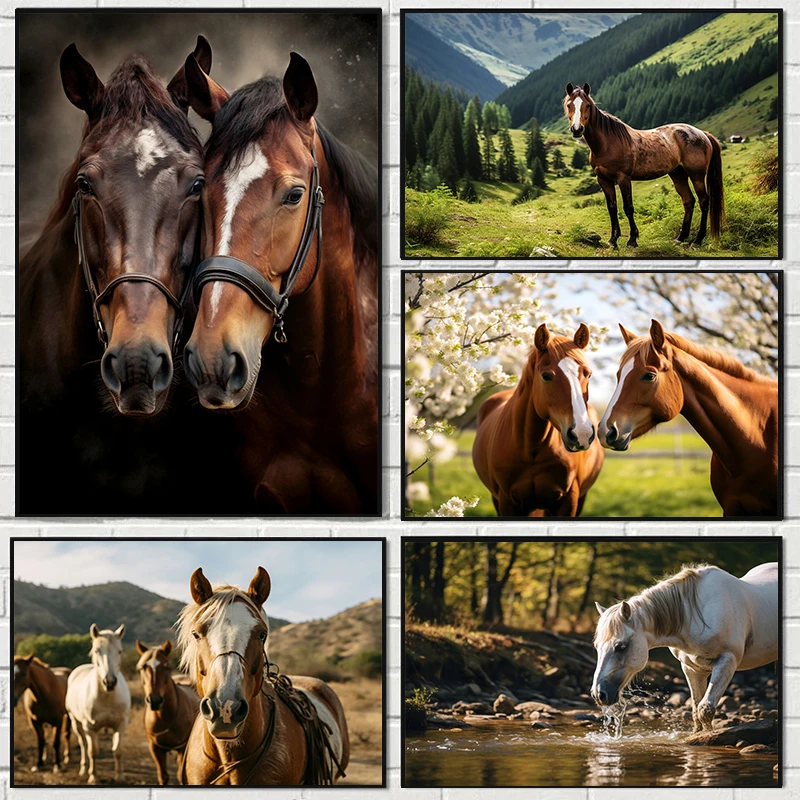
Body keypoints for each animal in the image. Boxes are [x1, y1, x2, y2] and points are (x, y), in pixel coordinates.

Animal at [65, 624, 131, 784]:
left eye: (120, 651)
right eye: (96, 651)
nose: (110, 682)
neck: (107, 697)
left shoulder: (121, 724)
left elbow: (118, 751)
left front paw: (120, 776)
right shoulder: (90, 727)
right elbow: (92, 751)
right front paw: (93, 777)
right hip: (76, 722)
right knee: (83, 744)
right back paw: (83, 769)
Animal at [135, 639, 200, 785]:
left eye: (167, 667)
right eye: (142, 667)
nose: (154, 700)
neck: (164, 717)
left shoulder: (183, 747)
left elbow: (182, 776)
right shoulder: (155, 748)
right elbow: (163, 776)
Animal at [472, 323, 605, 517]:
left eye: (588, 374)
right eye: (546, 376)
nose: (582, 433)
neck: (530, 449)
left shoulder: (569, 500)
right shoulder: (506, 502)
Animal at [563, 82, 724, 248]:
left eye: (587, 105)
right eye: (569, 105)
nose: (577, 129)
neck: (608, 143)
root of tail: (702, 133)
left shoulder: (623, 179)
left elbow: (628, 208)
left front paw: (632, 239)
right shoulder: (603, 180)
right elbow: (612, 208)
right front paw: (613, 240)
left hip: (696, 175)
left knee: (704, 201)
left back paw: (698, 240)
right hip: (678, 174)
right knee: (688, 201)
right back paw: (680, 238)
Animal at [592, 562, 778, 734]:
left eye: (621, 646)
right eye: (597, 647)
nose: (599, 694)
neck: (696, 617)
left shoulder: (727, 661)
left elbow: (705, 710)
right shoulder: (691, 668)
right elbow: (696, 710)